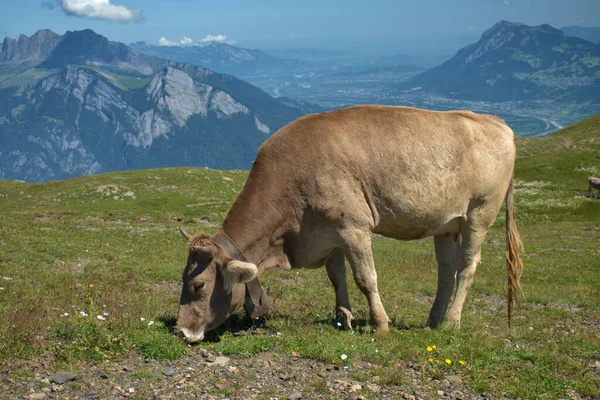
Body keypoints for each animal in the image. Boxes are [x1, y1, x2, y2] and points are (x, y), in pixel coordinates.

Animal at [172, 104, 520, 342]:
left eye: (198, 285)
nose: (180, 331)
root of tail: (497, 122)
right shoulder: (328, 233)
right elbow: (337, 277)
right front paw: (343, 318)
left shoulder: (354, 228)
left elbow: (365, 278)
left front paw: (379, 324)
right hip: (446, 224)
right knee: (446, 271)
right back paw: (433, 320)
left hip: (480, 213)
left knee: (467, 267)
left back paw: (451, 322)